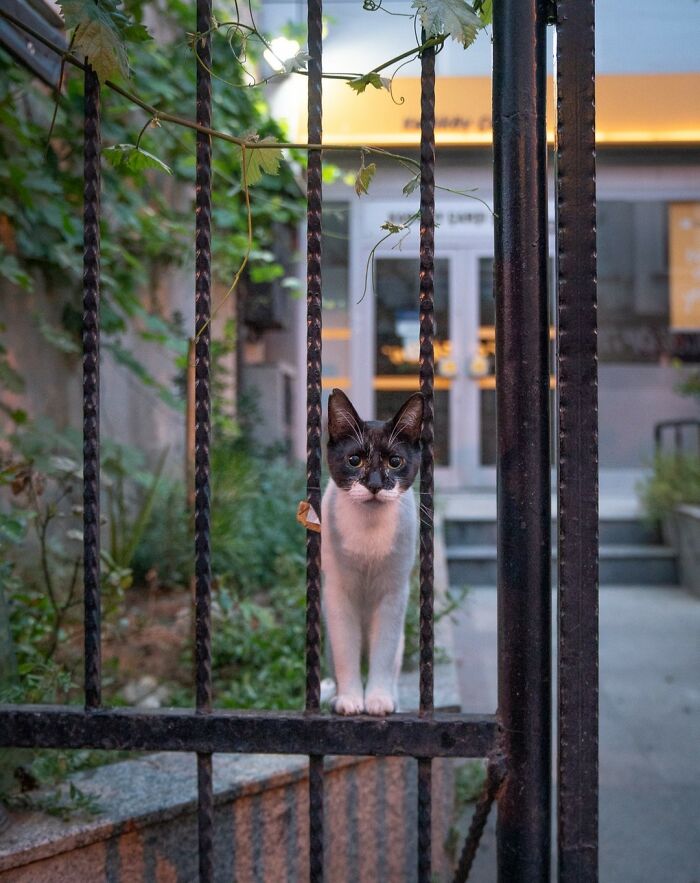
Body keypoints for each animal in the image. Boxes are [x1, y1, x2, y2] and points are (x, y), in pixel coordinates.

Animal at [322, 390, 422, 716]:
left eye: (395, 461)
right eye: (355, 460)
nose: (376, 484)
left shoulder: (394, 594)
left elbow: (384, 653)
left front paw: (378, 700)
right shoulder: (337, 593)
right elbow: (345, 653)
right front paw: (350, 700)